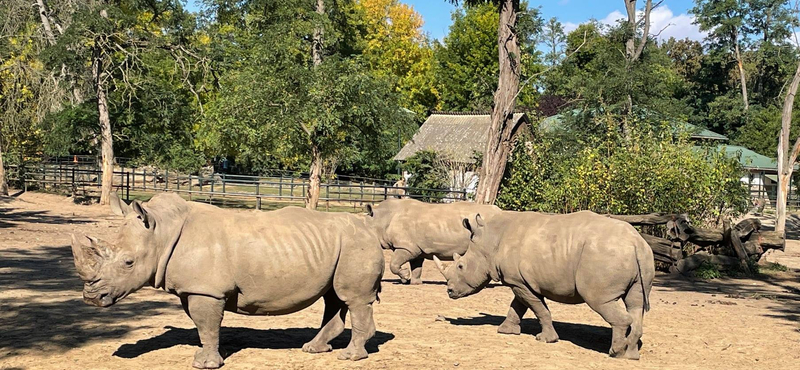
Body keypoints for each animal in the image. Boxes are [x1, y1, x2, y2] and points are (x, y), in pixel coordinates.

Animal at [70, 194, 382, 368]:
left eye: (128, 262)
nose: (91, 297)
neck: (161, 232)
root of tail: (371, 226)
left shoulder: (206, 290)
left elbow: (206, 324)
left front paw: (204, 364)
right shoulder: (193, 288)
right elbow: (203, 326)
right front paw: (209, 354)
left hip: (355, 244)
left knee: (353, 298)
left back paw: (350, 357)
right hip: (340, 246)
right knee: (335, 297)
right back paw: (313, 349)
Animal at [368, 198, 500, 284]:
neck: (380, 218)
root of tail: (499, 211)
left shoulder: (406, 247)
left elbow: (393, 264)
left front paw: (405, 276)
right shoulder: (416, 249)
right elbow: (416, 267)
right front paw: (414, 282)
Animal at [434, 212, 652, 360]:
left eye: (461, 266)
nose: (449, 291)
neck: (491, 240)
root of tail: (636, 243)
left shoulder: (520, 282)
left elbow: (538, 308)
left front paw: (546, 339)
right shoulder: (518, 281)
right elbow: (517, 306)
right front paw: (505, 331)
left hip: (603, 256)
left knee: (601, 302)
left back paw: (615, 353)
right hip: (637, 255)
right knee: (635, 304)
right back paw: (631, 355)